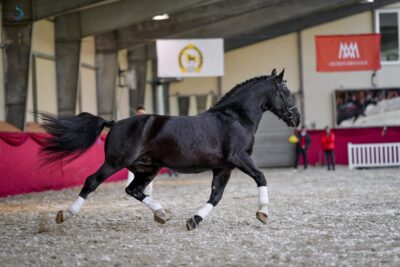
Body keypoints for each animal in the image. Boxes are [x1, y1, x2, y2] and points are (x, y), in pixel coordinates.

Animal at [43, 69, 300, 230]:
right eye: (286, 92)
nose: (296, 119)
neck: (235, 117)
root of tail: (114, 123)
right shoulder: (239, 158)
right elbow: (261, 176)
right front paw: (263, 213)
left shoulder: (223, 167)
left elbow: (216, 196)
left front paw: (194, 220)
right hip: (115, 163)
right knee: (92, 182)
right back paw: (64, 214)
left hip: (148, 168)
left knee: (134, 190)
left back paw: (162, 213)